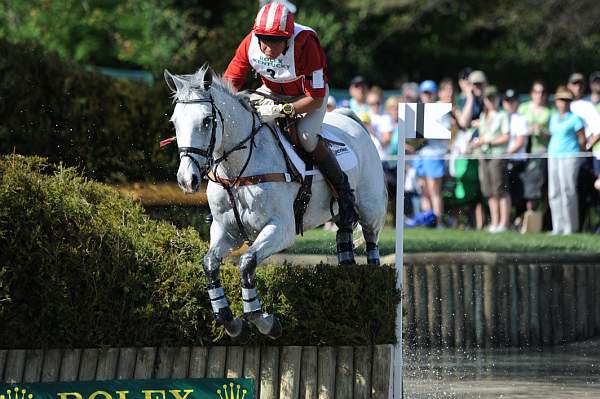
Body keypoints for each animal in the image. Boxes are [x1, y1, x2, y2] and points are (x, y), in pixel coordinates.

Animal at [166, 66, 386, 340]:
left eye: (207, 121)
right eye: (174, 122)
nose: (187, 180)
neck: (236, 170)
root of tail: (352, 120)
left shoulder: (280, 229)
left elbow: (247, 262)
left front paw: (264, 321)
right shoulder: (226, 231)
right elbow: (210, 263)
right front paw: (230, 320)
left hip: (370, 209)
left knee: (371, 240)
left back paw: (375, 278)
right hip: (341, 214)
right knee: (344, 232)